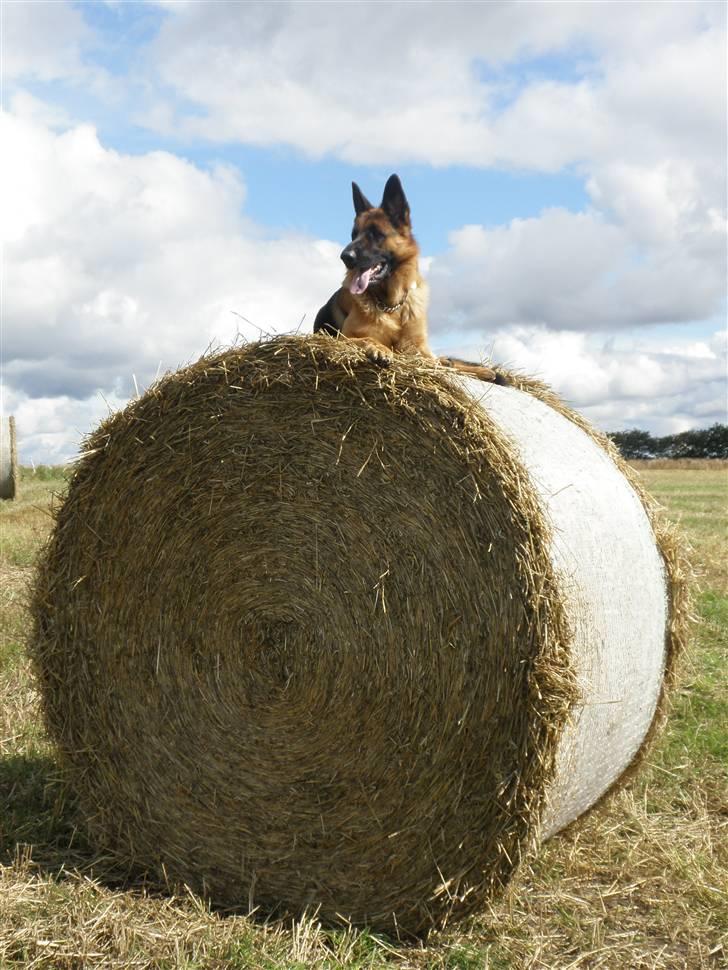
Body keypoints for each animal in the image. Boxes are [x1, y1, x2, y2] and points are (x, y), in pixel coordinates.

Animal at [312, 174, 506, 382]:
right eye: (353, 235)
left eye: (376, 234)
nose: (345, 257)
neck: (392, 305)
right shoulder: (345, 338)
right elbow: (367, 338)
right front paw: (380, 349)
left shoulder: (418, 348)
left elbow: (439, 364)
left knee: (445, 362)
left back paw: (485, 371)